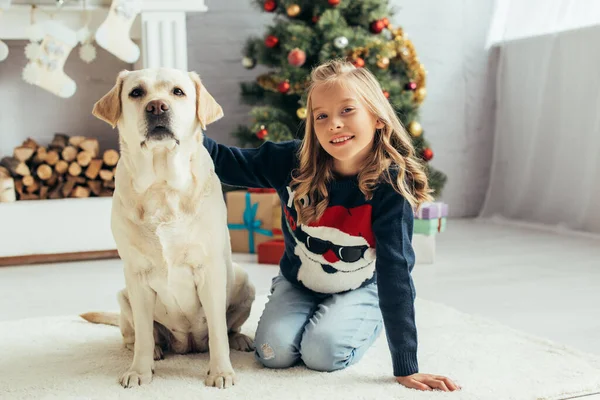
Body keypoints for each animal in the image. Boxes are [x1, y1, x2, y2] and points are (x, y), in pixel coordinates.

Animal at [80, 69, 255, 390]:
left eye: (178, 92)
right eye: (136, 93)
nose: (157, 107)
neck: (161, 185)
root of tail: (188, 344)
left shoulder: (210, 271)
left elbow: (218, 333)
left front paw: (221, 372)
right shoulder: (136, 275)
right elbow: (143, 335)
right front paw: (139, 371)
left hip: (244, 280)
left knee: (227, 329)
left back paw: (240, 340)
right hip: (124, 294)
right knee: (134, 335)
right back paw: (154, 351)